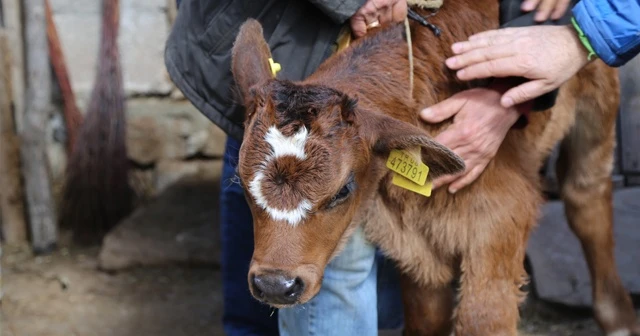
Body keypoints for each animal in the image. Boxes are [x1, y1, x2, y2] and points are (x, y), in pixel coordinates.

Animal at [228, 1, 636, 334]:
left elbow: (482, 320)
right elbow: (427, 317)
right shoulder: (411, 239)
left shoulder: (502, 215)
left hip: (596, 98)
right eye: (243, 186)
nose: (275, 284)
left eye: (343, 190)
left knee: (586, 197)